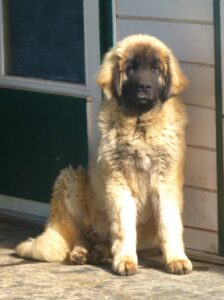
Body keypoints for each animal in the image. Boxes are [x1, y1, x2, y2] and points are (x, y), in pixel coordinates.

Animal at [15, 34, 192, 276]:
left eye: (155, 68)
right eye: (131, 68)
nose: (144, 86)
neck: (139, 125)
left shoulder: (166, 180)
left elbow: (169, 223)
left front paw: (176, 259)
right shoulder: (118, 182)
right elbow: (124, 226)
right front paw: (125, 260)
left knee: (98, 241)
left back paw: (99, 252)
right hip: (70, 179)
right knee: (80, 235)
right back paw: (81, 253)